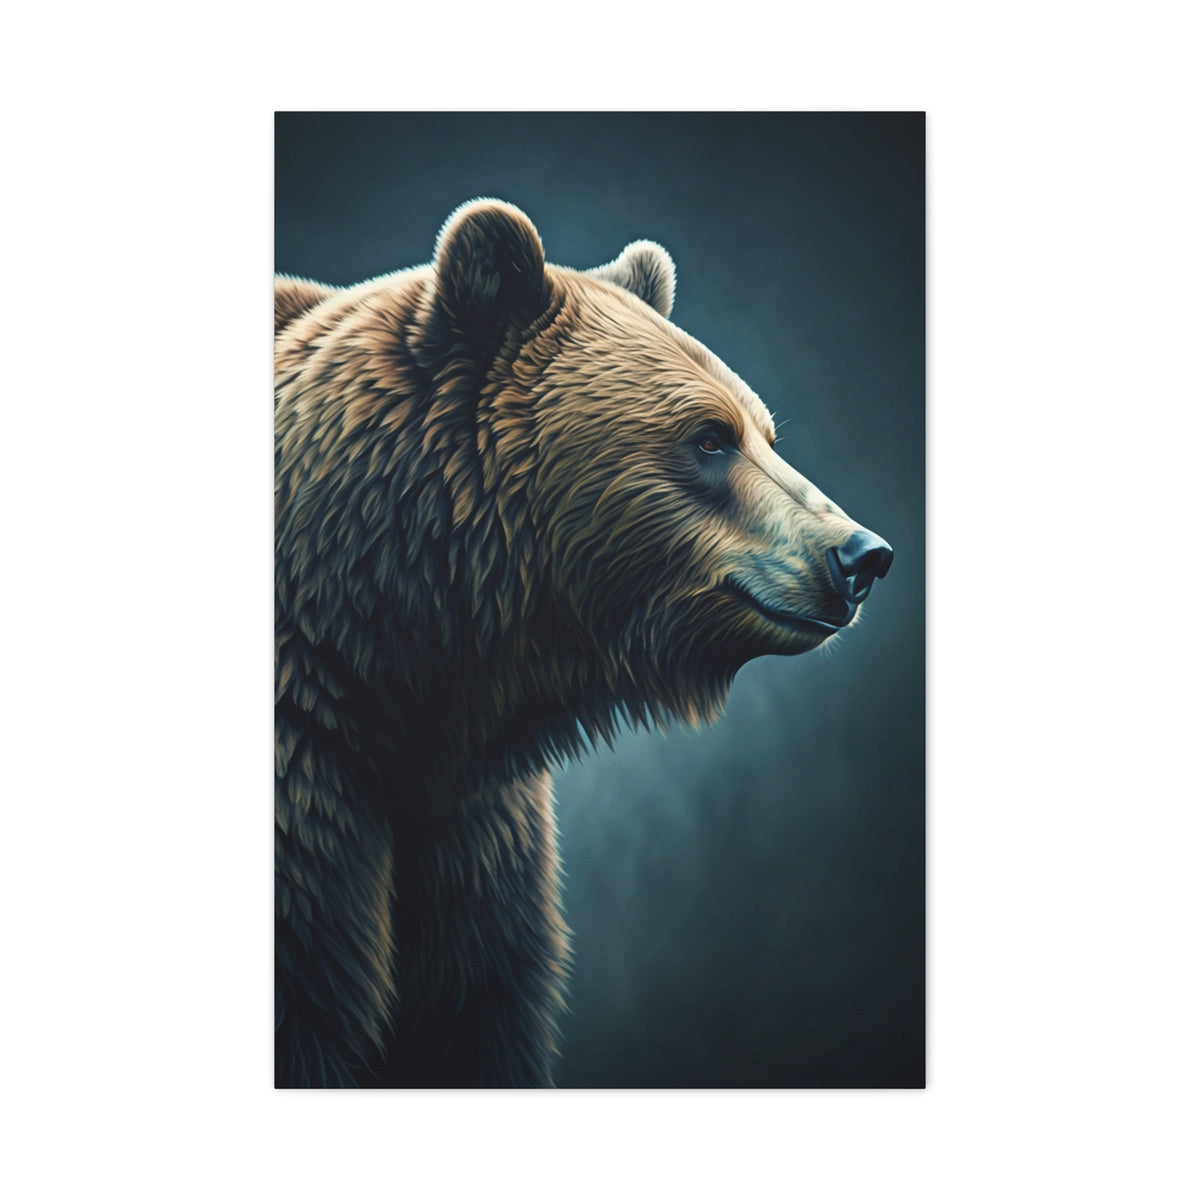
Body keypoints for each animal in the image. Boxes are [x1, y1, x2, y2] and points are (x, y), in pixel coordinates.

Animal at [275, 199, 893, 1088]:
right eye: (709, 437)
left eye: (765, 433)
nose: (861, 555)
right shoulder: (307, 790)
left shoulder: (471, 825)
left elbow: (474, 1005)